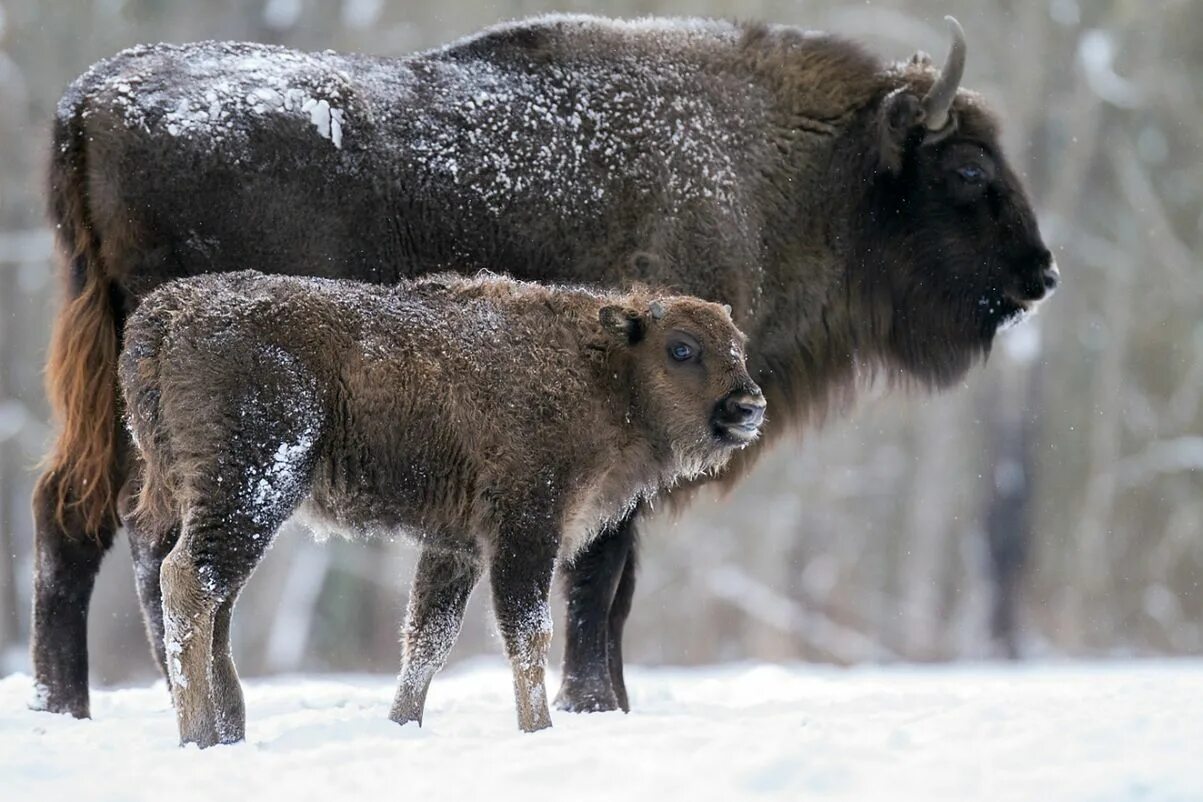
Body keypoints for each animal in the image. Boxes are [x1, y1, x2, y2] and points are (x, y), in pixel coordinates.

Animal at [122, 269, 760, 745]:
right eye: (682, 348)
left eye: (739, 346)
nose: (748, 406)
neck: (603, 367)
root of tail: (165, 315)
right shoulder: (526, 527)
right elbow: (528, 633)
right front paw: (538, 730)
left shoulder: (457, 548)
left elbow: (427, 640)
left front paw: (402, 725)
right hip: (251, 489)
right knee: (190, 582)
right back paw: (200, 734)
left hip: (215, 500)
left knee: (209, 597)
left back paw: (227, 730)